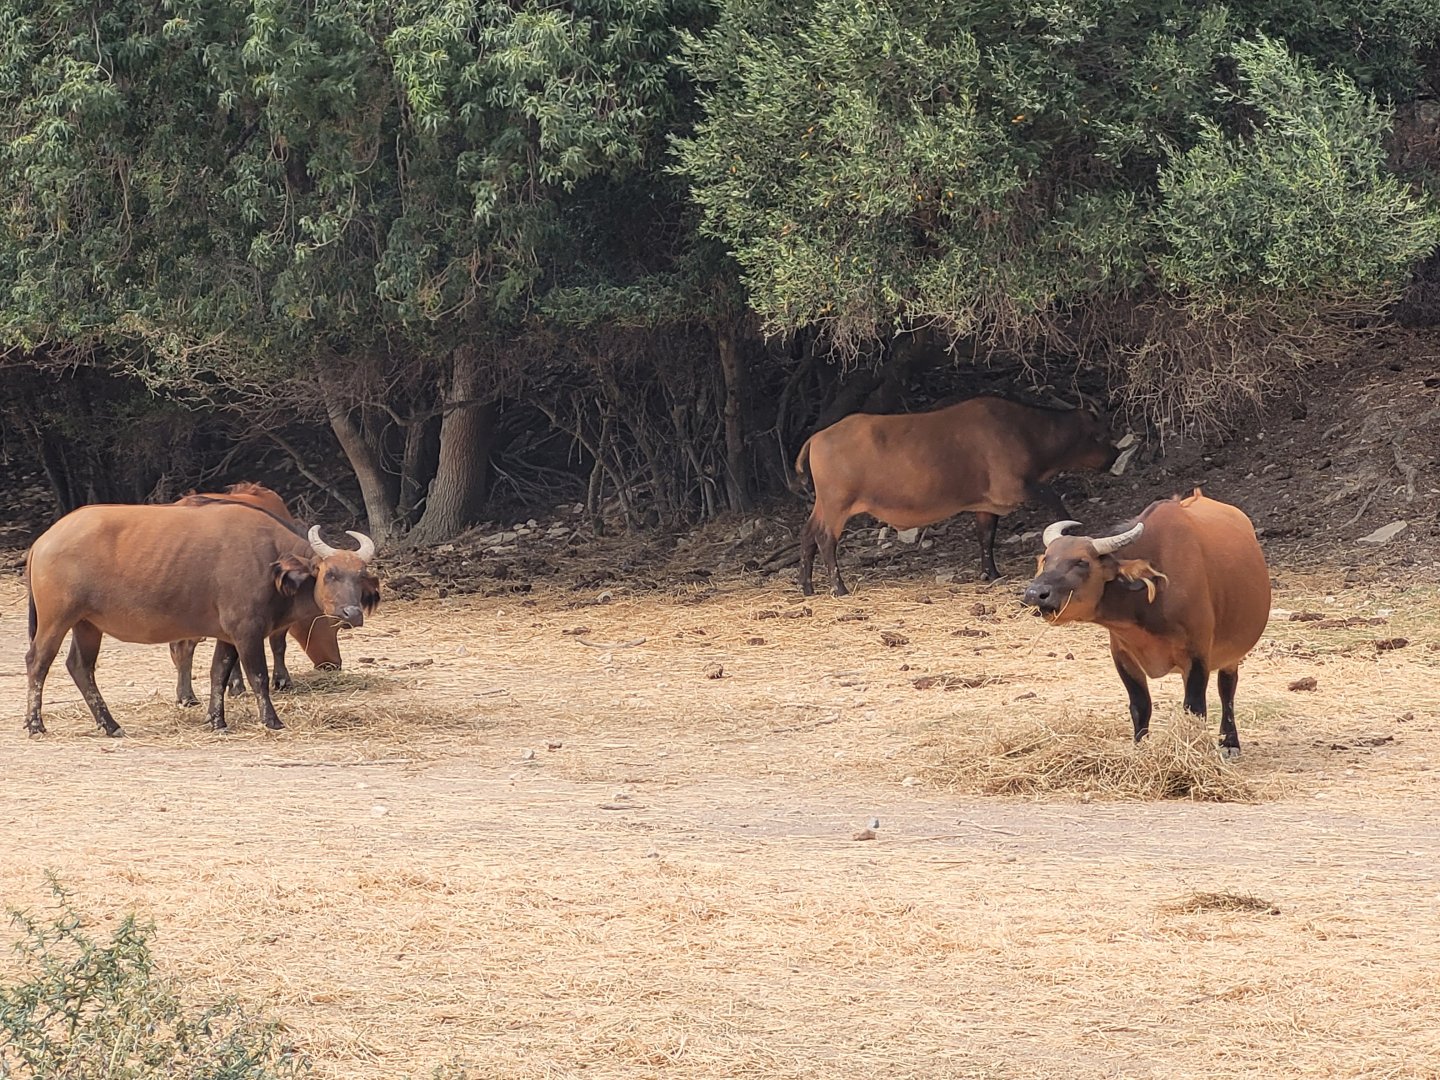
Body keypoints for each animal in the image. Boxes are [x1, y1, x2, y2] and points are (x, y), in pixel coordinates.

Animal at [795, 396, 1119, 595]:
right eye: (1100, 435)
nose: (1115, 455)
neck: (1024, 431)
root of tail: (817, 437)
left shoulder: (987, 505)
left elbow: (985, 537)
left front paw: (991, 572)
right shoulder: (1018, 487)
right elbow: (1055, 502)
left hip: (823, 504)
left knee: (807, 535)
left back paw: (807, 586)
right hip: (837, 505)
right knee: (825, 538)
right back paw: (839, 588)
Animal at [1020, 489, 1271, 758]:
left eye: (1082, 562)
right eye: (1046, 559)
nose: (1035, 593)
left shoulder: (1197, 654)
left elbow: (1195, 708)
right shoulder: (1122, 654)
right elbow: (1140, 705)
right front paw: (1140, 747)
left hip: (1232, 654)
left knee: (1227, 689)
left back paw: (1229, 741)